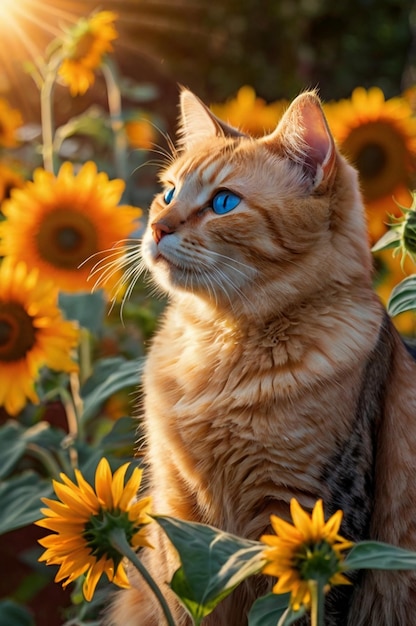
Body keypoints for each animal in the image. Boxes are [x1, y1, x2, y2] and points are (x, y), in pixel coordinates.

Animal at [106, 89, 416, 624]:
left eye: (224, 202)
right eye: (168, 193)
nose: (157, 228)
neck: (221, 346)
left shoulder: (310, 521)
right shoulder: (181, 521)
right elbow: (179, 604)